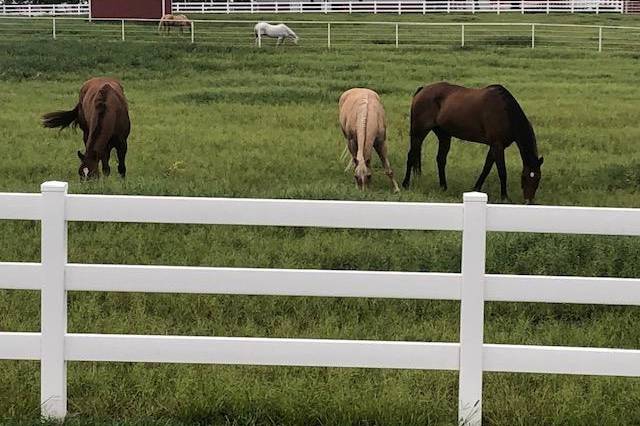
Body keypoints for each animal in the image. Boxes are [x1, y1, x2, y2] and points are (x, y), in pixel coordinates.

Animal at [402, 83, 544, 205]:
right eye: (524, 177)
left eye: (538, 179)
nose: (528, 201)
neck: (505, 111)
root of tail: (422, 90)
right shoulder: (497, 145)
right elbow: (502, 172)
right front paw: (504, 197)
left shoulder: (495, 146)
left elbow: (486, 167)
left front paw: (476, 187)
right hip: (418, 132)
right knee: (411, 156)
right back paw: (405, 184)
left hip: (444, 135)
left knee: (440, 159)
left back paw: (443, 187)